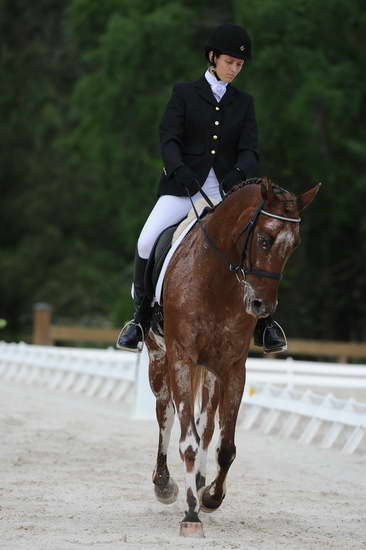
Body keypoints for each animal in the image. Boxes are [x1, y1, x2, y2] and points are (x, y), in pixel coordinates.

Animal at [144, 178, 318, 540]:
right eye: (264, 239)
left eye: (293, 246)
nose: (262, 306)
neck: (217, 280)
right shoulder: (181, 359)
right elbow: (187, 440)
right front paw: (191, 515)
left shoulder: (234, 368)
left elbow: (225, 446)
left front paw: (210, 497)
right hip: (158, 359)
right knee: (165, 413)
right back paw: (164, 483)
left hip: (211, 373)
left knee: (206, 424)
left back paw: (198, 481)